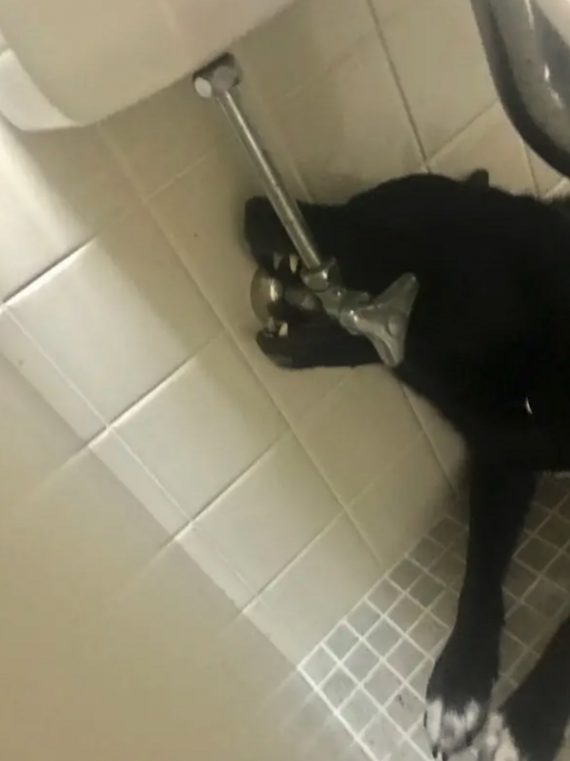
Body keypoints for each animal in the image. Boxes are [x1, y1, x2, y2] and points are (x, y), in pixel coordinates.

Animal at [244, 170, 570, 761]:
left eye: (365, 210)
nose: (251, 204)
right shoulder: (501, 459)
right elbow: (478, 571)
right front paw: (460, 682)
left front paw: (528, 723)